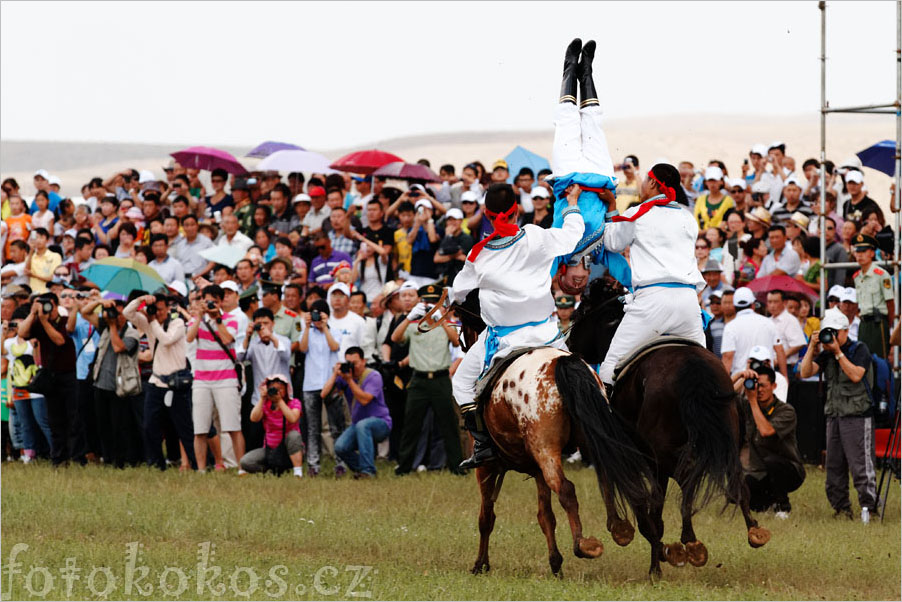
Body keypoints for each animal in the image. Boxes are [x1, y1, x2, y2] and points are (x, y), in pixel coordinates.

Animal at [568, 278, 772, 576]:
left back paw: (677, 549)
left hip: (660, 456)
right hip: (722, 439)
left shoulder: (633, 452)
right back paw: (747, 531)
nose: (569, 342)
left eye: (582, 308)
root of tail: (693, 367)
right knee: (730, 478)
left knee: (674, 489)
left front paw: (630, 534)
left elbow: (631, 494)